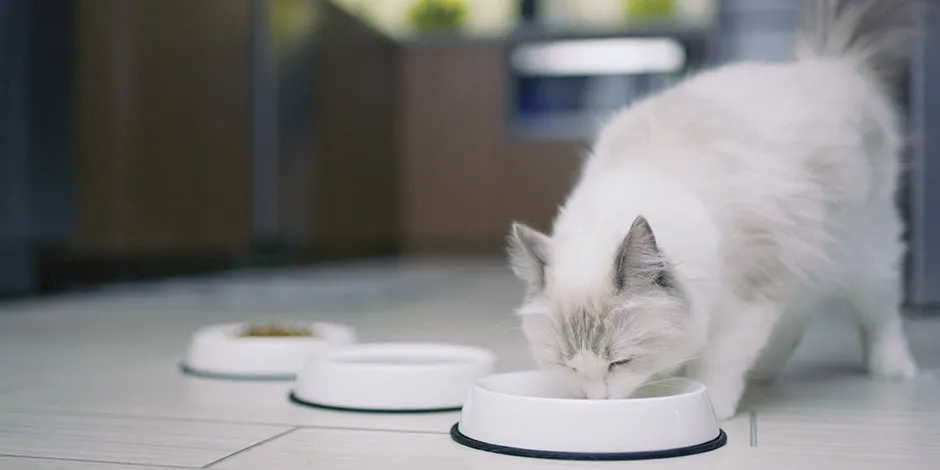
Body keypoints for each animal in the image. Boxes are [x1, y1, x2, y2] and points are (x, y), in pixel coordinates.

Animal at [506, 0, 916, 420]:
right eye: (568, 365)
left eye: (619, 362)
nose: (596, 400)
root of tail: (831, 63)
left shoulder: (750, 296)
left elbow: (720, 361)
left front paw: (713, 406)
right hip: (809, 263)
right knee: (798, 317)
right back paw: (765, 372)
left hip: (866, 258)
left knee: (881, 317)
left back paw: (894, 370)